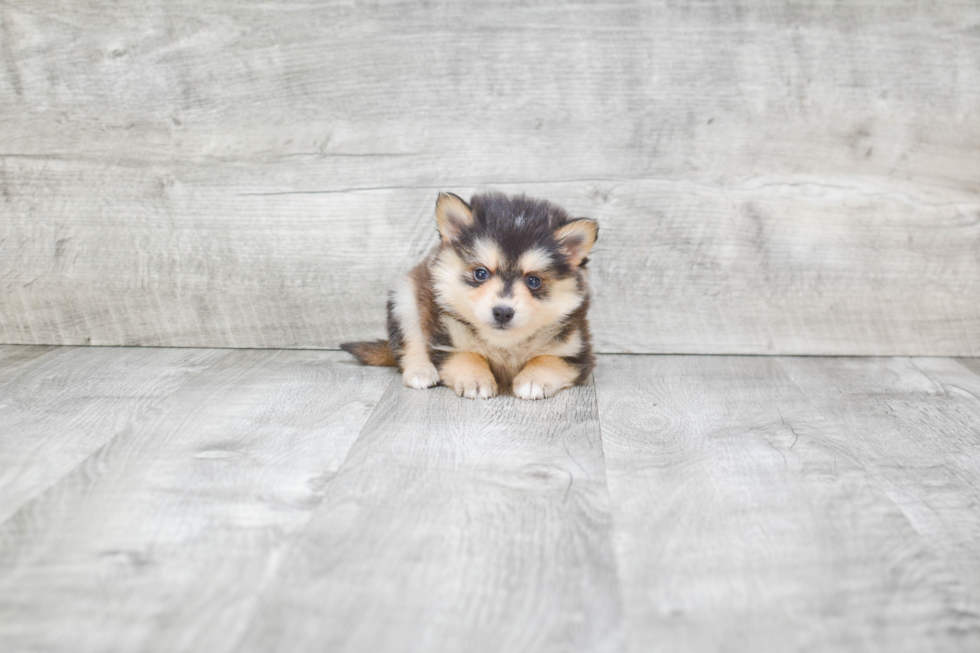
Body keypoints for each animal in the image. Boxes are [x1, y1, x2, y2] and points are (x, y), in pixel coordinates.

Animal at [336, 190, 596, 398]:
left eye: (533, 281)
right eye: (481, 273)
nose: (502, 312)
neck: (504, 345)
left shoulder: (576, 351)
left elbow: (547, 358)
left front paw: (534, 380)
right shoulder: (445, 342)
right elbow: (468, 355)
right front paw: (476, 380)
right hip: (405, 299)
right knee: (411, 344)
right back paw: (421, 371)